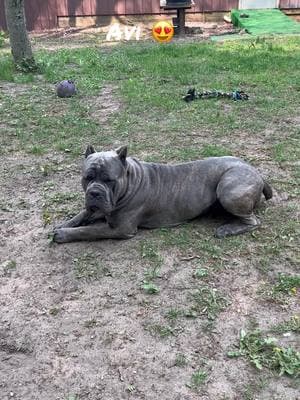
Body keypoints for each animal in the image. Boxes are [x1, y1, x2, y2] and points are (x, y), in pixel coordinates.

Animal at [52, 145, 274, 242]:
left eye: (109, 180)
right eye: (87, 177)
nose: (95, 193)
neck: (130, 180)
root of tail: (256, 171)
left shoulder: (121, 228)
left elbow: (90, 231)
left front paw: (63, 234)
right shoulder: (102, 208)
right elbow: (83, 214)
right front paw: (64, 224)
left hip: (228, 191)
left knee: (253, 221)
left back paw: (227, 229)